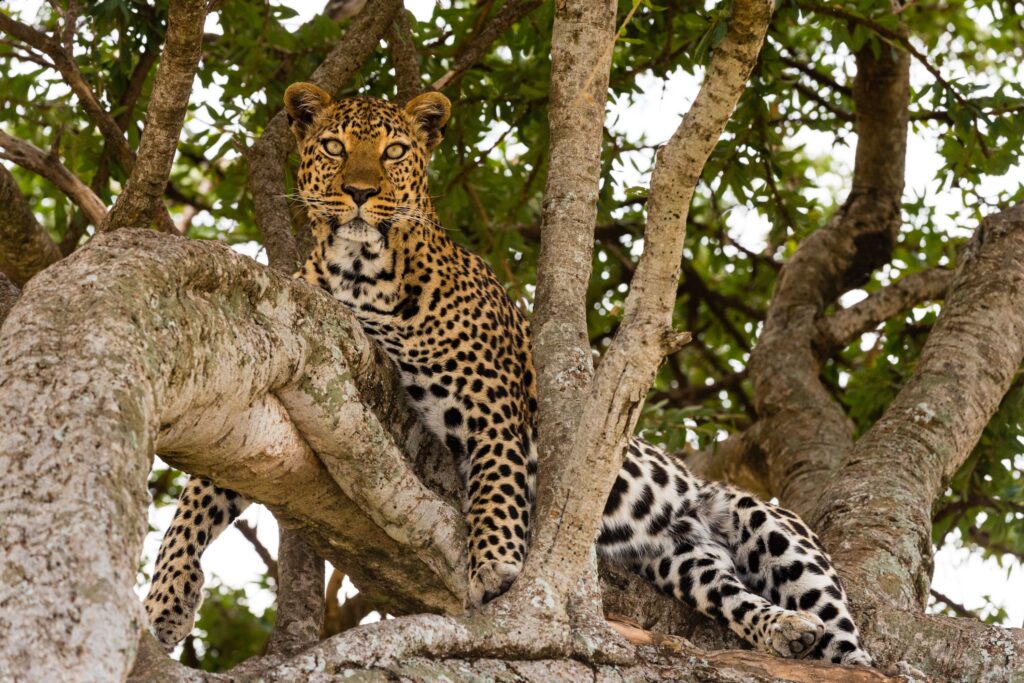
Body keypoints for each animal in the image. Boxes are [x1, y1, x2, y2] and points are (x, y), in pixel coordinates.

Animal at [143, 84, 874, 667]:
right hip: (684, 561)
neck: (360, 273)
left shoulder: (489, 394)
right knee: (731, 592)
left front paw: (493, 562)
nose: (359, 192)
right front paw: (164, 602)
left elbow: (495, 477)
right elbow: (195, 499)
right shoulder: (284, 367)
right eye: (333, 145)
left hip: (765, 519)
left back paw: (822, 638)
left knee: (848, 638)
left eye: (394, 151)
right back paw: (784, 630)